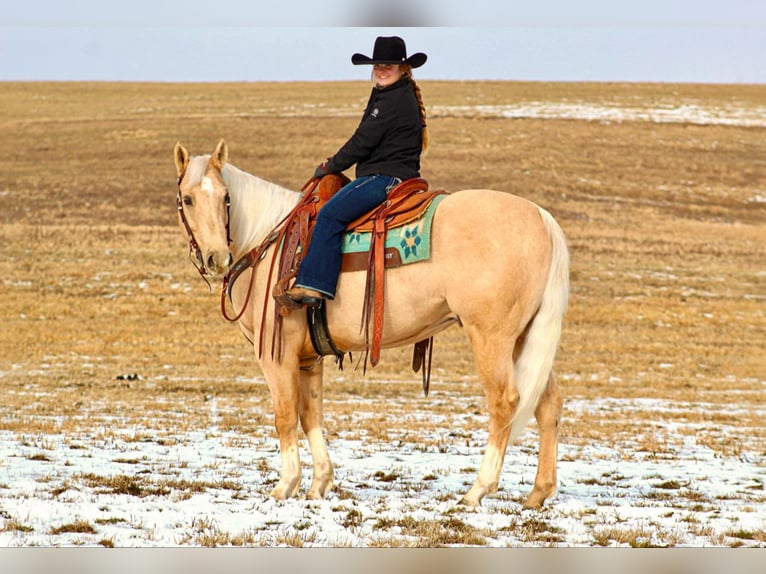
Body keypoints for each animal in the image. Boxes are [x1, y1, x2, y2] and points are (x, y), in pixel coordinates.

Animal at [174, 142, 568, 510]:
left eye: (225, 197)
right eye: (189, 199)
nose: (217, 258)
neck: (265, 241)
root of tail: (541, 217)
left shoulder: (277, 355)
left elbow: (285, 416)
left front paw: (284, 486)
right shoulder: (308, 359)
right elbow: (310, 414)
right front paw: (319, 484)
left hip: (491, 338)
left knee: (505, 401)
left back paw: (477, 491)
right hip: (524, 338)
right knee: (547, 402)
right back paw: (538, 493)